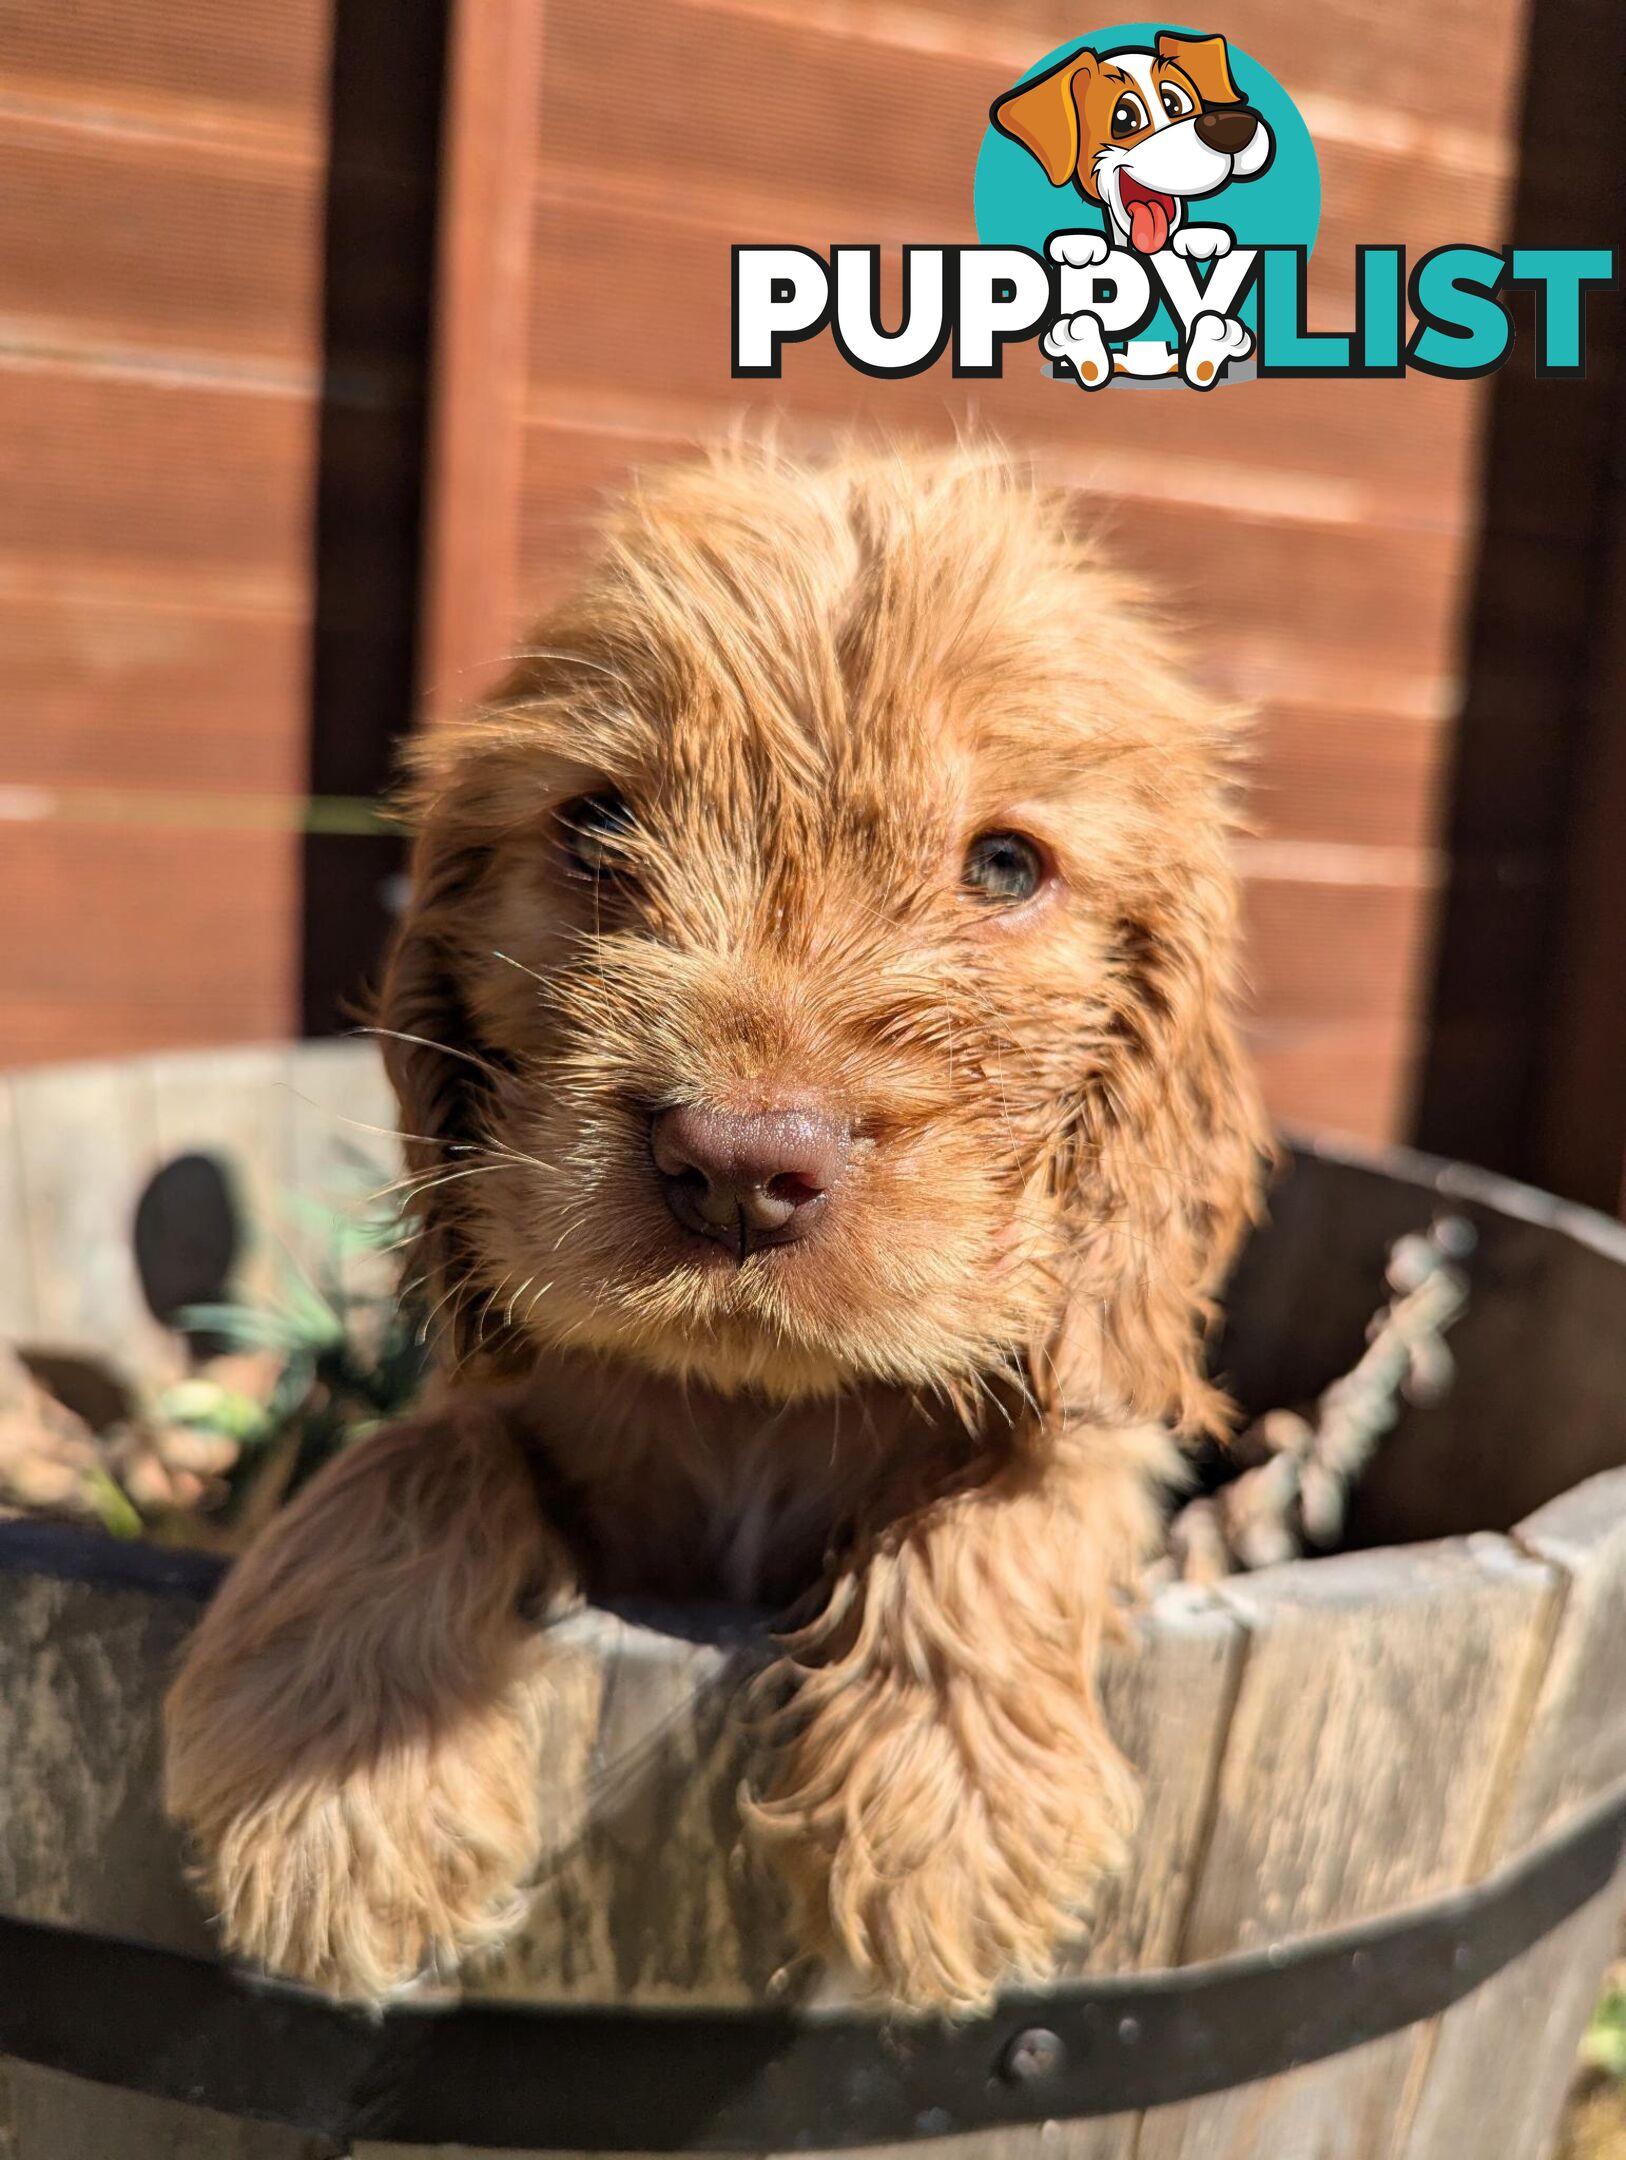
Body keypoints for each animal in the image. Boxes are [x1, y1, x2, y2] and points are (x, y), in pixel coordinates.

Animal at [165, 447, 1261, 2013]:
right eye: (596, 827)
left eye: (1004, 866)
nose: (739, 1168)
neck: (759, 1402)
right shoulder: (527, 1405)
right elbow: (428, 1451)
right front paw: (332, 1777)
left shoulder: (1097, 1417)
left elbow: (1021, 1495)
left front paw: (946, 1811)